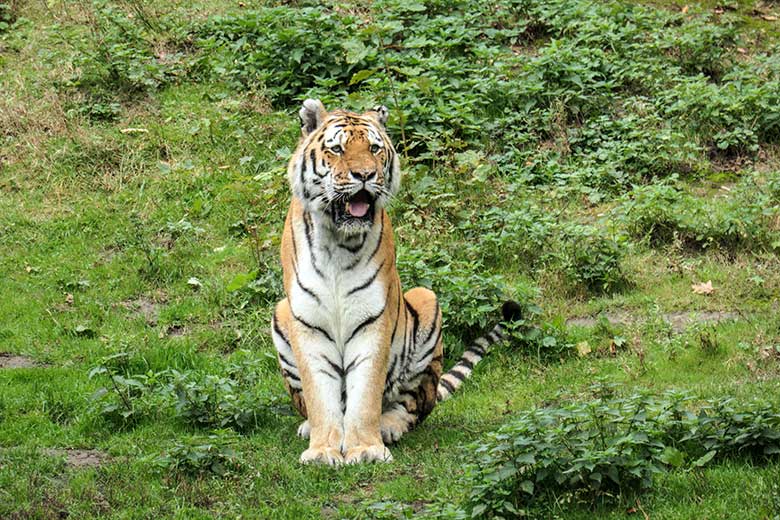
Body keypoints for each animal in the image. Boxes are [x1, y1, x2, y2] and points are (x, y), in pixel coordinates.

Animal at [272, 99, 520, 466]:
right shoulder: (307, 321)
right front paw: (322, 451)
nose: (364, 175)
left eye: (374, 149)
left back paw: (389, 426)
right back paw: (308, 428)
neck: (337, 242)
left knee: (414, 405)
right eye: (337, 149)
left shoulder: (372, 321)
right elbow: (319, 396)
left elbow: (365, 394)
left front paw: (366, 449)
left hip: (427, 304)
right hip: (280, 313)